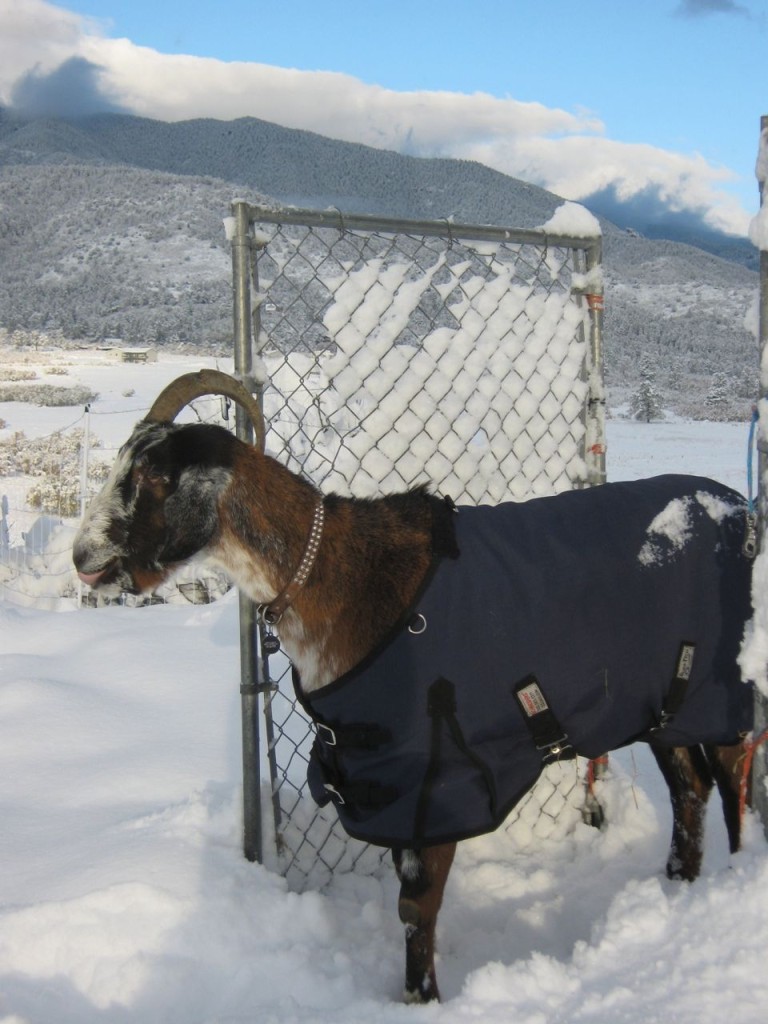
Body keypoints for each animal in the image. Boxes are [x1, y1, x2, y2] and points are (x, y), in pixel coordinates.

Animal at [73, 372, 757, 1003]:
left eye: (155, 478)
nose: (84, 557)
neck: (338, 574)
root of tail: (740, 510)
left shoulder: (437, 779)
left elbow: (417, 906)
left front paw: (420, 997)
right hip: (664, 702)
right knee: (691, 787)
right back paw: (679, 884)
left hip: (723, 681)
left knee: (731, 775)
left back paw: (734, 879)